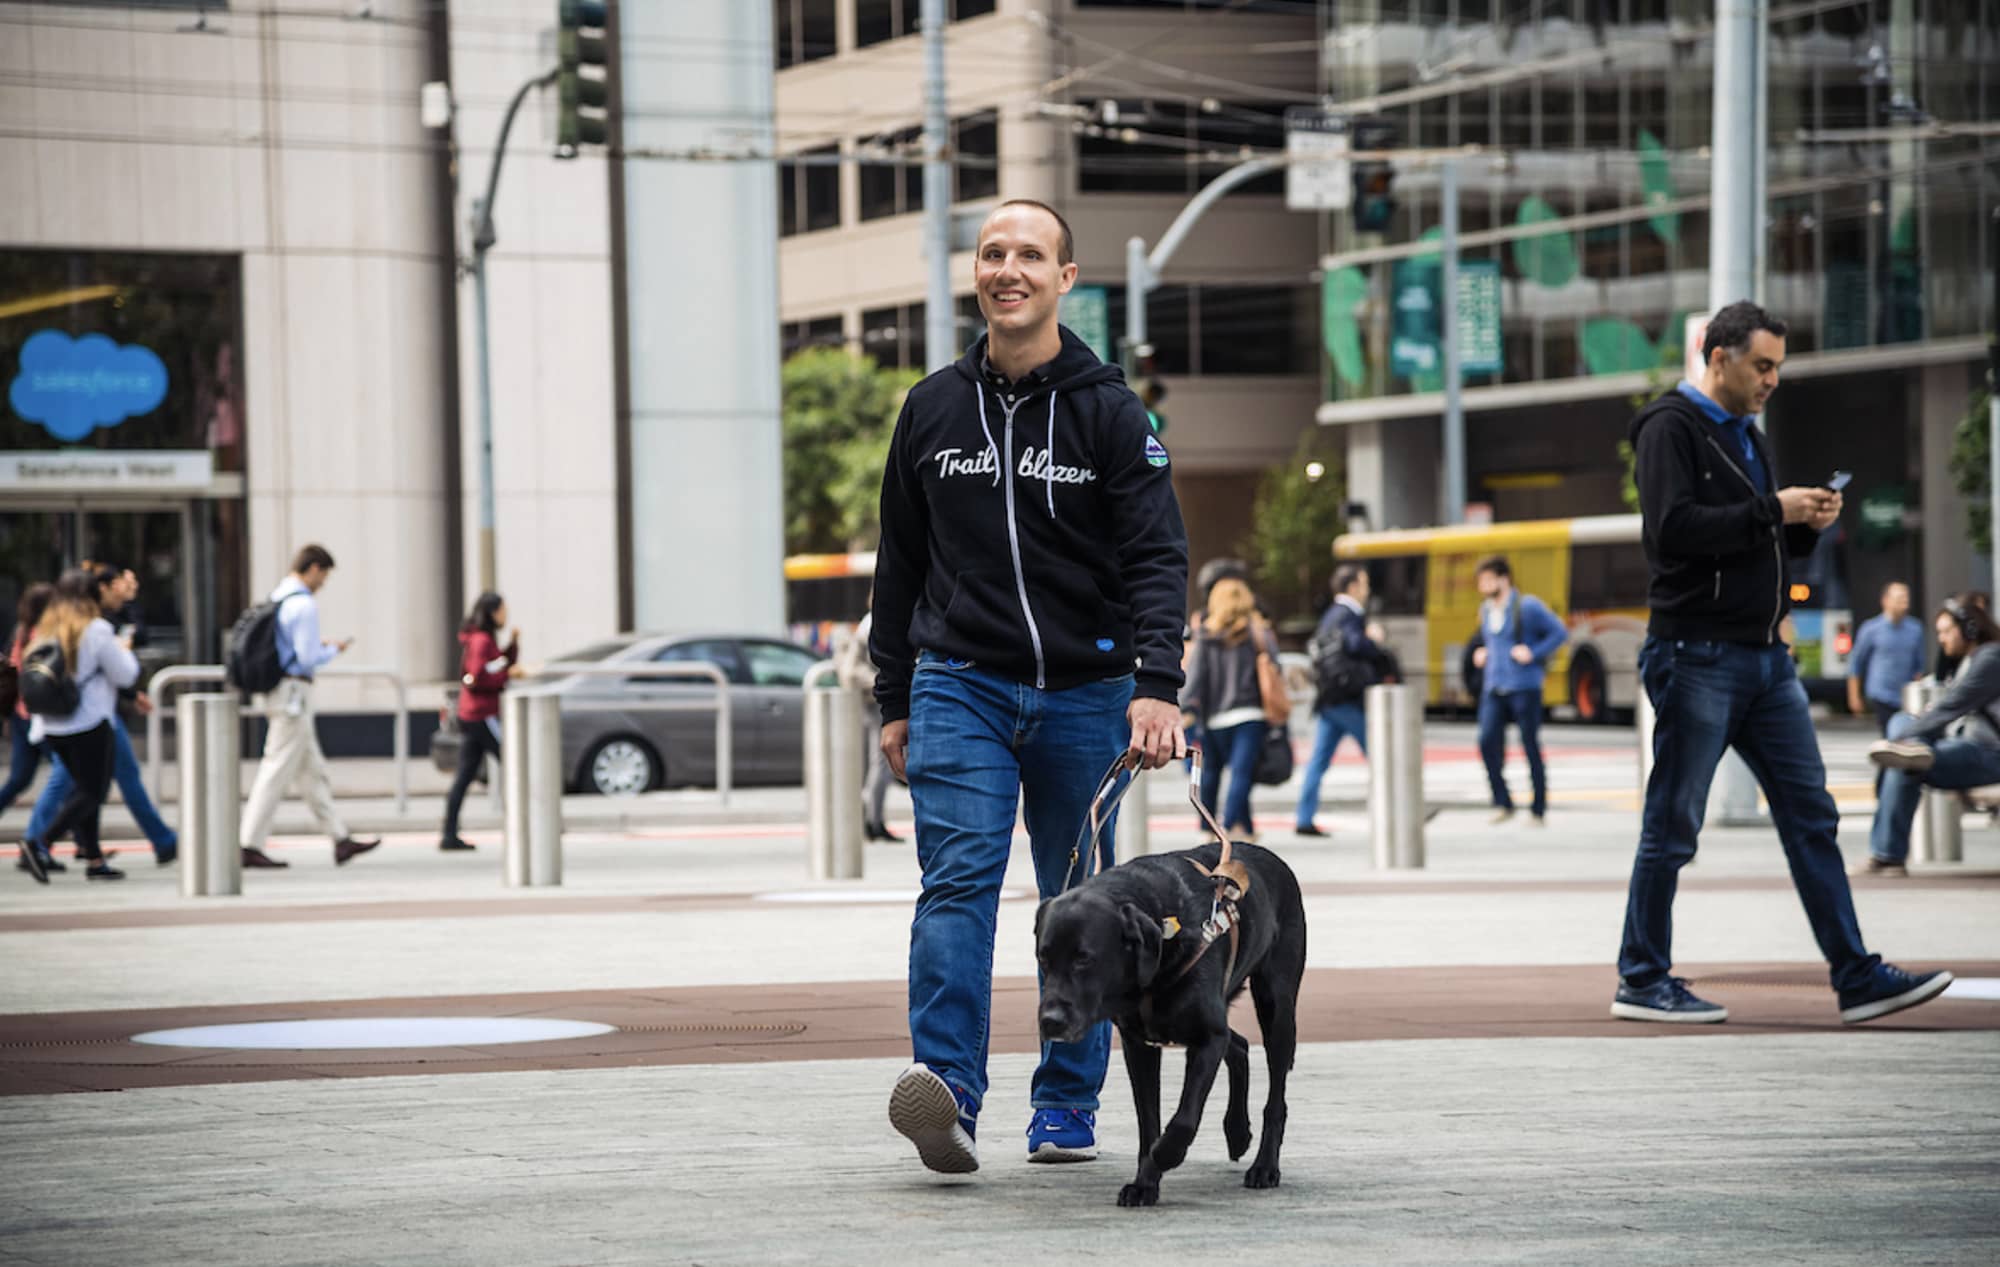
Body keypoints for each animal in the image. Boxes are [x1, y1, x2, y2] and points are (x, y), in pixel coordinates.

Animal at [1032, 839, 1312, 1207]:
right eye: (1043, 957)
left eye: (1084, 959)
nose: (1051, 1021)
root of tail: (1268, 855)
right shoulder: (1139, 1045)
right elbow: (1148, 1122)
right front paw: (1144, 1184)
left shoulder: (1207, 1038)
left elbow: (1183, 1119)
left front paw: (1166, 1154)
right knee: (1237, 1045)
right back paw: (1237, 1132)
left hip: (1276, 1007)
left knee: (1275, 1098)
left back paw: (1265, 1167)